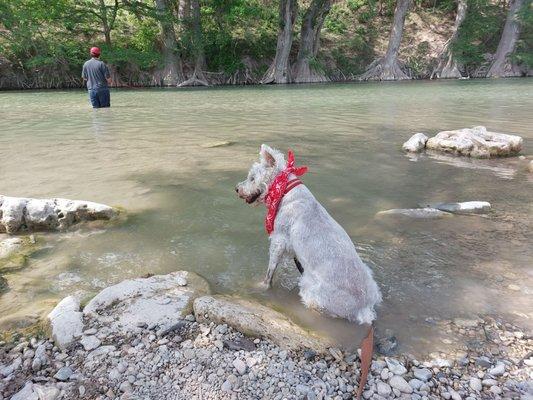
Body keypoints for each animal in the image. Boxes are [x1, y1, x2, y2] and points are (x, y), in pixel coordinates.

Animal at [235, 144, 380, 324]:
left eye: (252, 178)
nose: (237, 189)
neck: (285, 193)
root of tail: (363, 309)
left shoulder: (278, 241)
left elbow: (270, 271)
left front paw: (261, 287)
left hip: (312, 291)